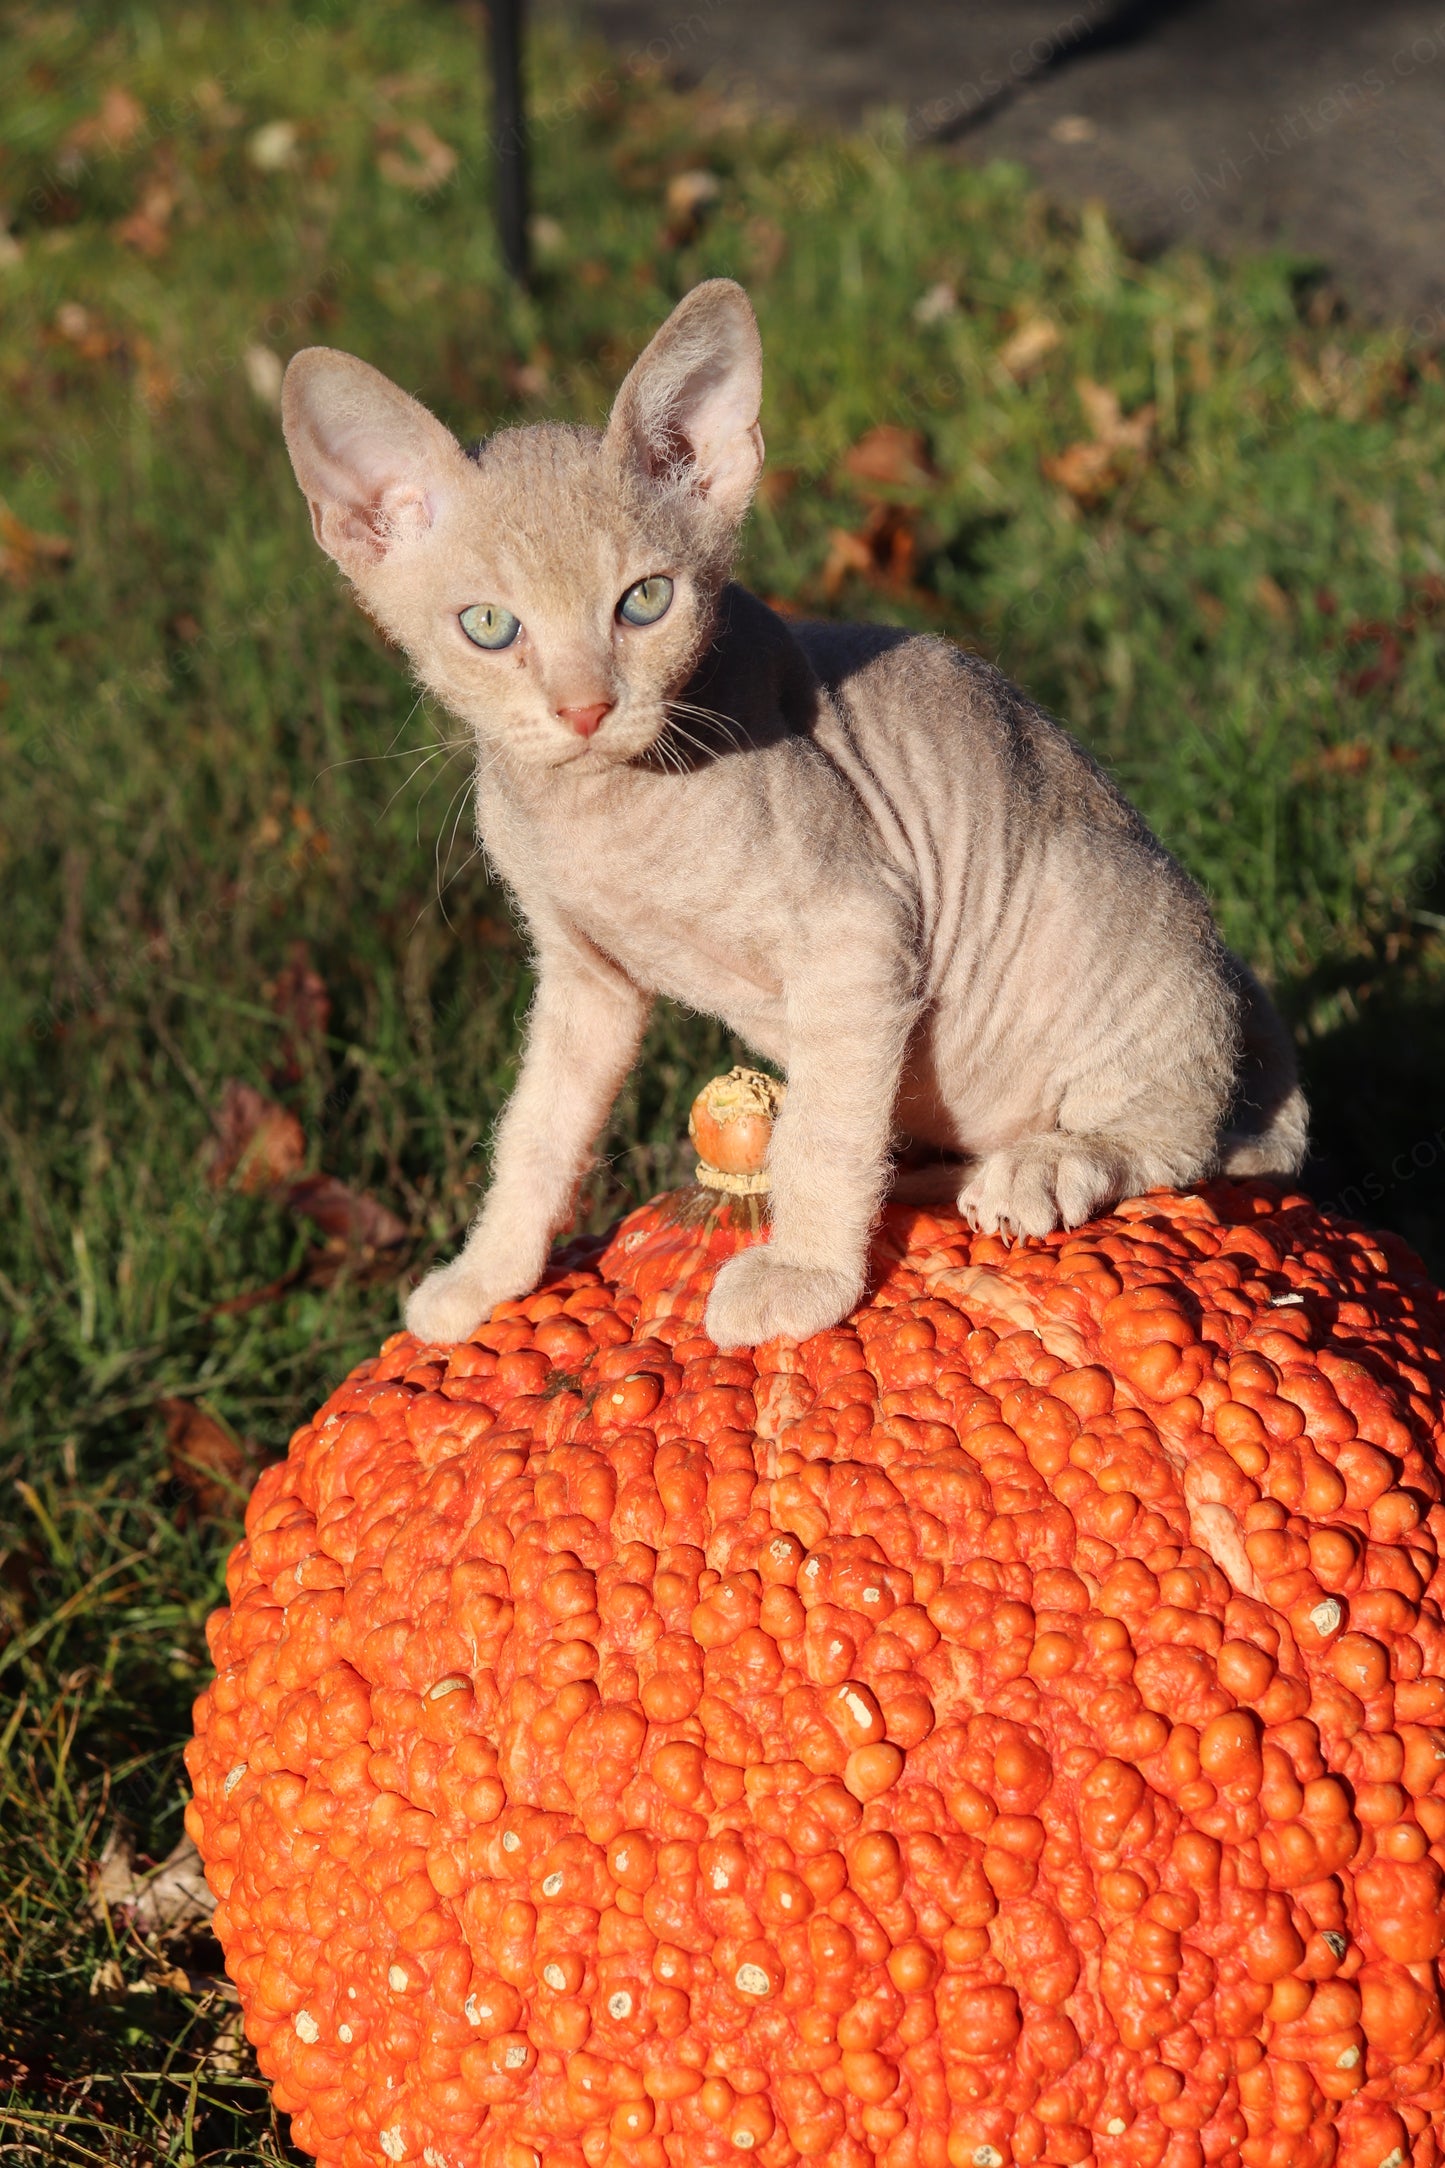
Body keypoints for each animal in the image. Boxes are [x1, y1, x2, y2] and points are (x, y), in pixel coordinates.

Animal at [281, 279, 1308, 1344]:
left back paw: (1044, 1164)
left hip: (1088, 903)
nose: (585, 709)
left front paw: (806, 1276)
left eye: (644, 602)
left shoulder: (859, 936)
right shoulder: (584, 978)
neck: (598, 814)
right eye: (489, 627)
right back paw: (935, 1174)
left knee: (1182, 1144)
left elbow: (823, 1132)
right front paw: (486, 1277)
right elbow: (534, 1133)